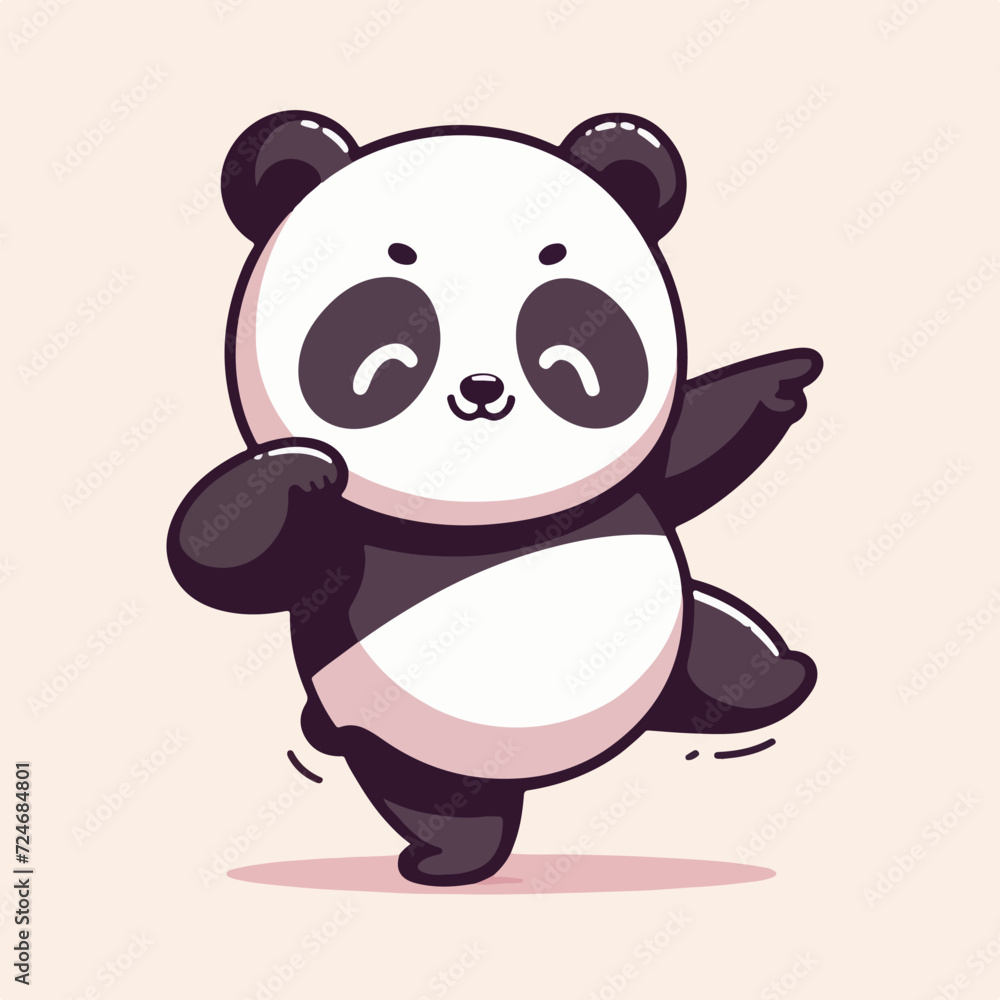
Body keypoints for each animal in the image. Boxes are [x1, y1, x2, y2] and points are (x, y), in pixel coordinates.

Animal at [167, 110, 821, 887]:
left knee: (716, 645)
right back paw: (446, 856)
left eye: (557, 330)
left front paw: (783, 378)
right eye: (398, 338)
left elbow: (686, 450)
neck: (480, 521)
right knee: (432, 799)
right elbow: (222, 557)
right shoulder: (345, 549)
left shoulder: (630, 490)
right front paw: (306, 467)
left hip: (670, 644)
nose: (482, 392)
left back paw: (773, 678)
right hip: (406, 734)